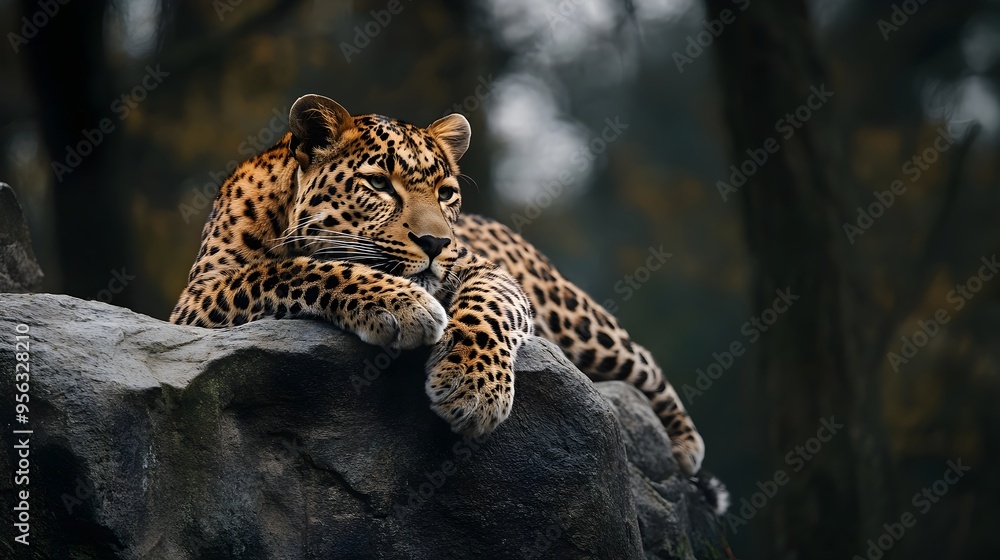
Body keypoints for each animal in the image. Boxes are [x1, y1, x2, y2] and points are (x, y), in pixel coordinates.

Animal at [170, 94, 710, 480]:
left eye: (446, 192)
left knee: (644, 362)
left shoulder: (487, 270)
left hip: (579, 324)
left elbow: (488, 308)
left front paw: (473, 387)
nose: (436, 242)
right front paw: (404, 303)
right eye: (379, 185)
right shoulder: (196, 303)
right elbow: (292, 269)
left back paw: (683, 448)